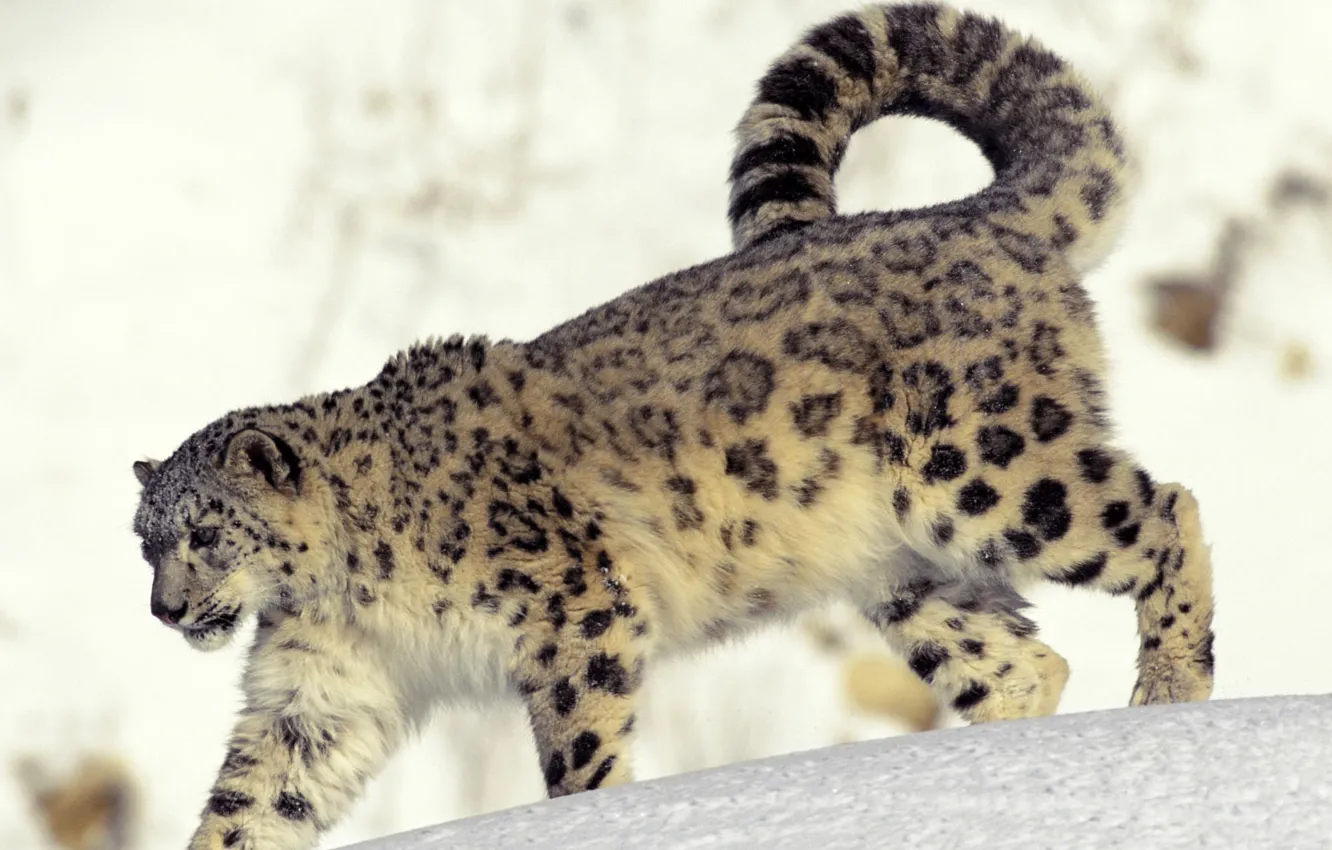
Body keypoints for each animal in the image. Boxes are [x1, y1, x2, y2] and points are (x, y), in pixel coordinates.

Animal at [130, 4, 1215, 848]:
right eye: (145, 542)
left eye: (205, 531)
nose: (165, 610)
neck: (343, 589)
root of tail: (981, 216)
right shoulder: (321, 688)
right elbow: (254, 799)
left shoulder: (570, 607)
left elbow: (579, 741)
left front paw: (594, 816)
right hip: (906, 570)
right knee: (1022, 659)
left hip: (984, 466)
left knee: (1165, 509)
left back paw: (1169, 687)